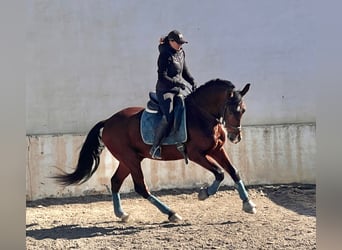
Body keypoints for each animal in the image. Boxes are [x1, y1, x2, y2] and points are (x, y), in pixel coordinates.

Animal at [54, 78, 255, 223]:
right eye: (233, 110)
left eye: (243, 110)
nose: (236, 137)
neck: (201, 114)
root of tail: (108, 121)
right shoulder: (196, 154)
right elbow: (220, 173)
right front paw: (204, 193)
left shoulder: (216, 150)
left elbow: (234, 171)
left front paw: (248, 204)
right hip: (130, 159)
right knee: (141, 188)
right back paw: (171, 213)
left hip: (130, 159)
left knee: (116, 181)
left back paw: (122, 214)